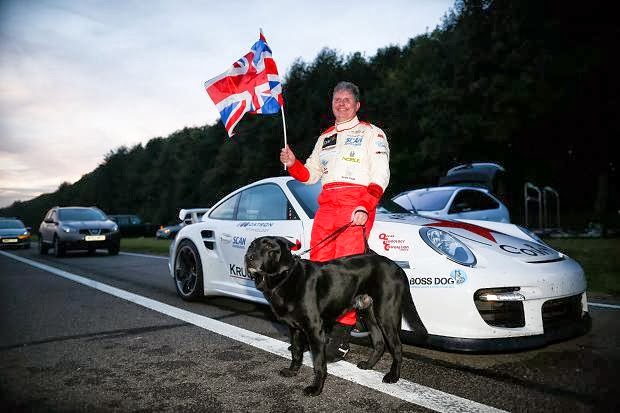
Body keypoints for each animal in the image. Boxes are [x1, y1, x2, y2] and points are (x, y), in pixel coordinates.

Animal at [245, 236, 426, 396]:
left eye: (269, 246)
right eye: (251, 246)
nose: (248, 257)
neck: (285, 276)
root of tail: (397, 267)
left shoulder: (315, 330)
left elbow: (318, 364)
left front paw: (316, 389)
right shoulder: (294, 328)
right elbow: (296, 352)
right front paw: (292, 371)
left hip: (386, 315)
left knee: (397, 347)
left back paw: (393, 376)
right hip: (368, 313)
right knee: (379, 343)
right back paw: (368, 365)